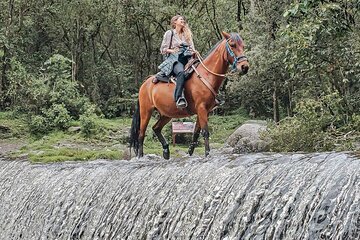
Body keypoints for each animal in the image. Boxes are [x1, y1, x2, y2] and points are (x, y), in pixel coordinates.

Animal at [130, 31, 250, 159]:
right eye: (232, 45)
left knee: (156, 128)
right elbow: (205, 132)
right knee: (141, 133)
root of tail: (145, 84)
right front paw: (207, 154)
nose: (245, 67)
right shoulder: (201, 108)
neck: (206, 75)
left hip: (166, 114)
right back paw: (141, 156)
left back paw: (166, 151)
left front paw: (189, 153)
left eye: (243, 46)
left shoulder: (205, 111)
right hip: (146, 111)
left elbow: (196, 133)